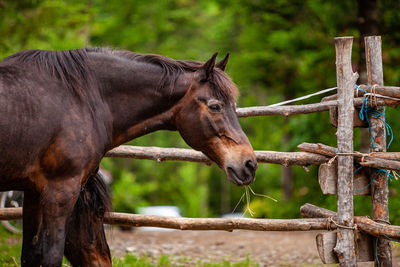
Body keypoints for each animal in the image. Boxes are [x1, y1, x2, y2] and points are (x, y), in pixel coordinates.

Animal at [0, 49, 256, 266]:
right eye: (215, 106)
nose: (250, 164)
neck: (79, 98)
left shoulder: (34, 192)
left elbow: (30, 255)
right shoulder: (60, 191)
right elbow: (50, 256)